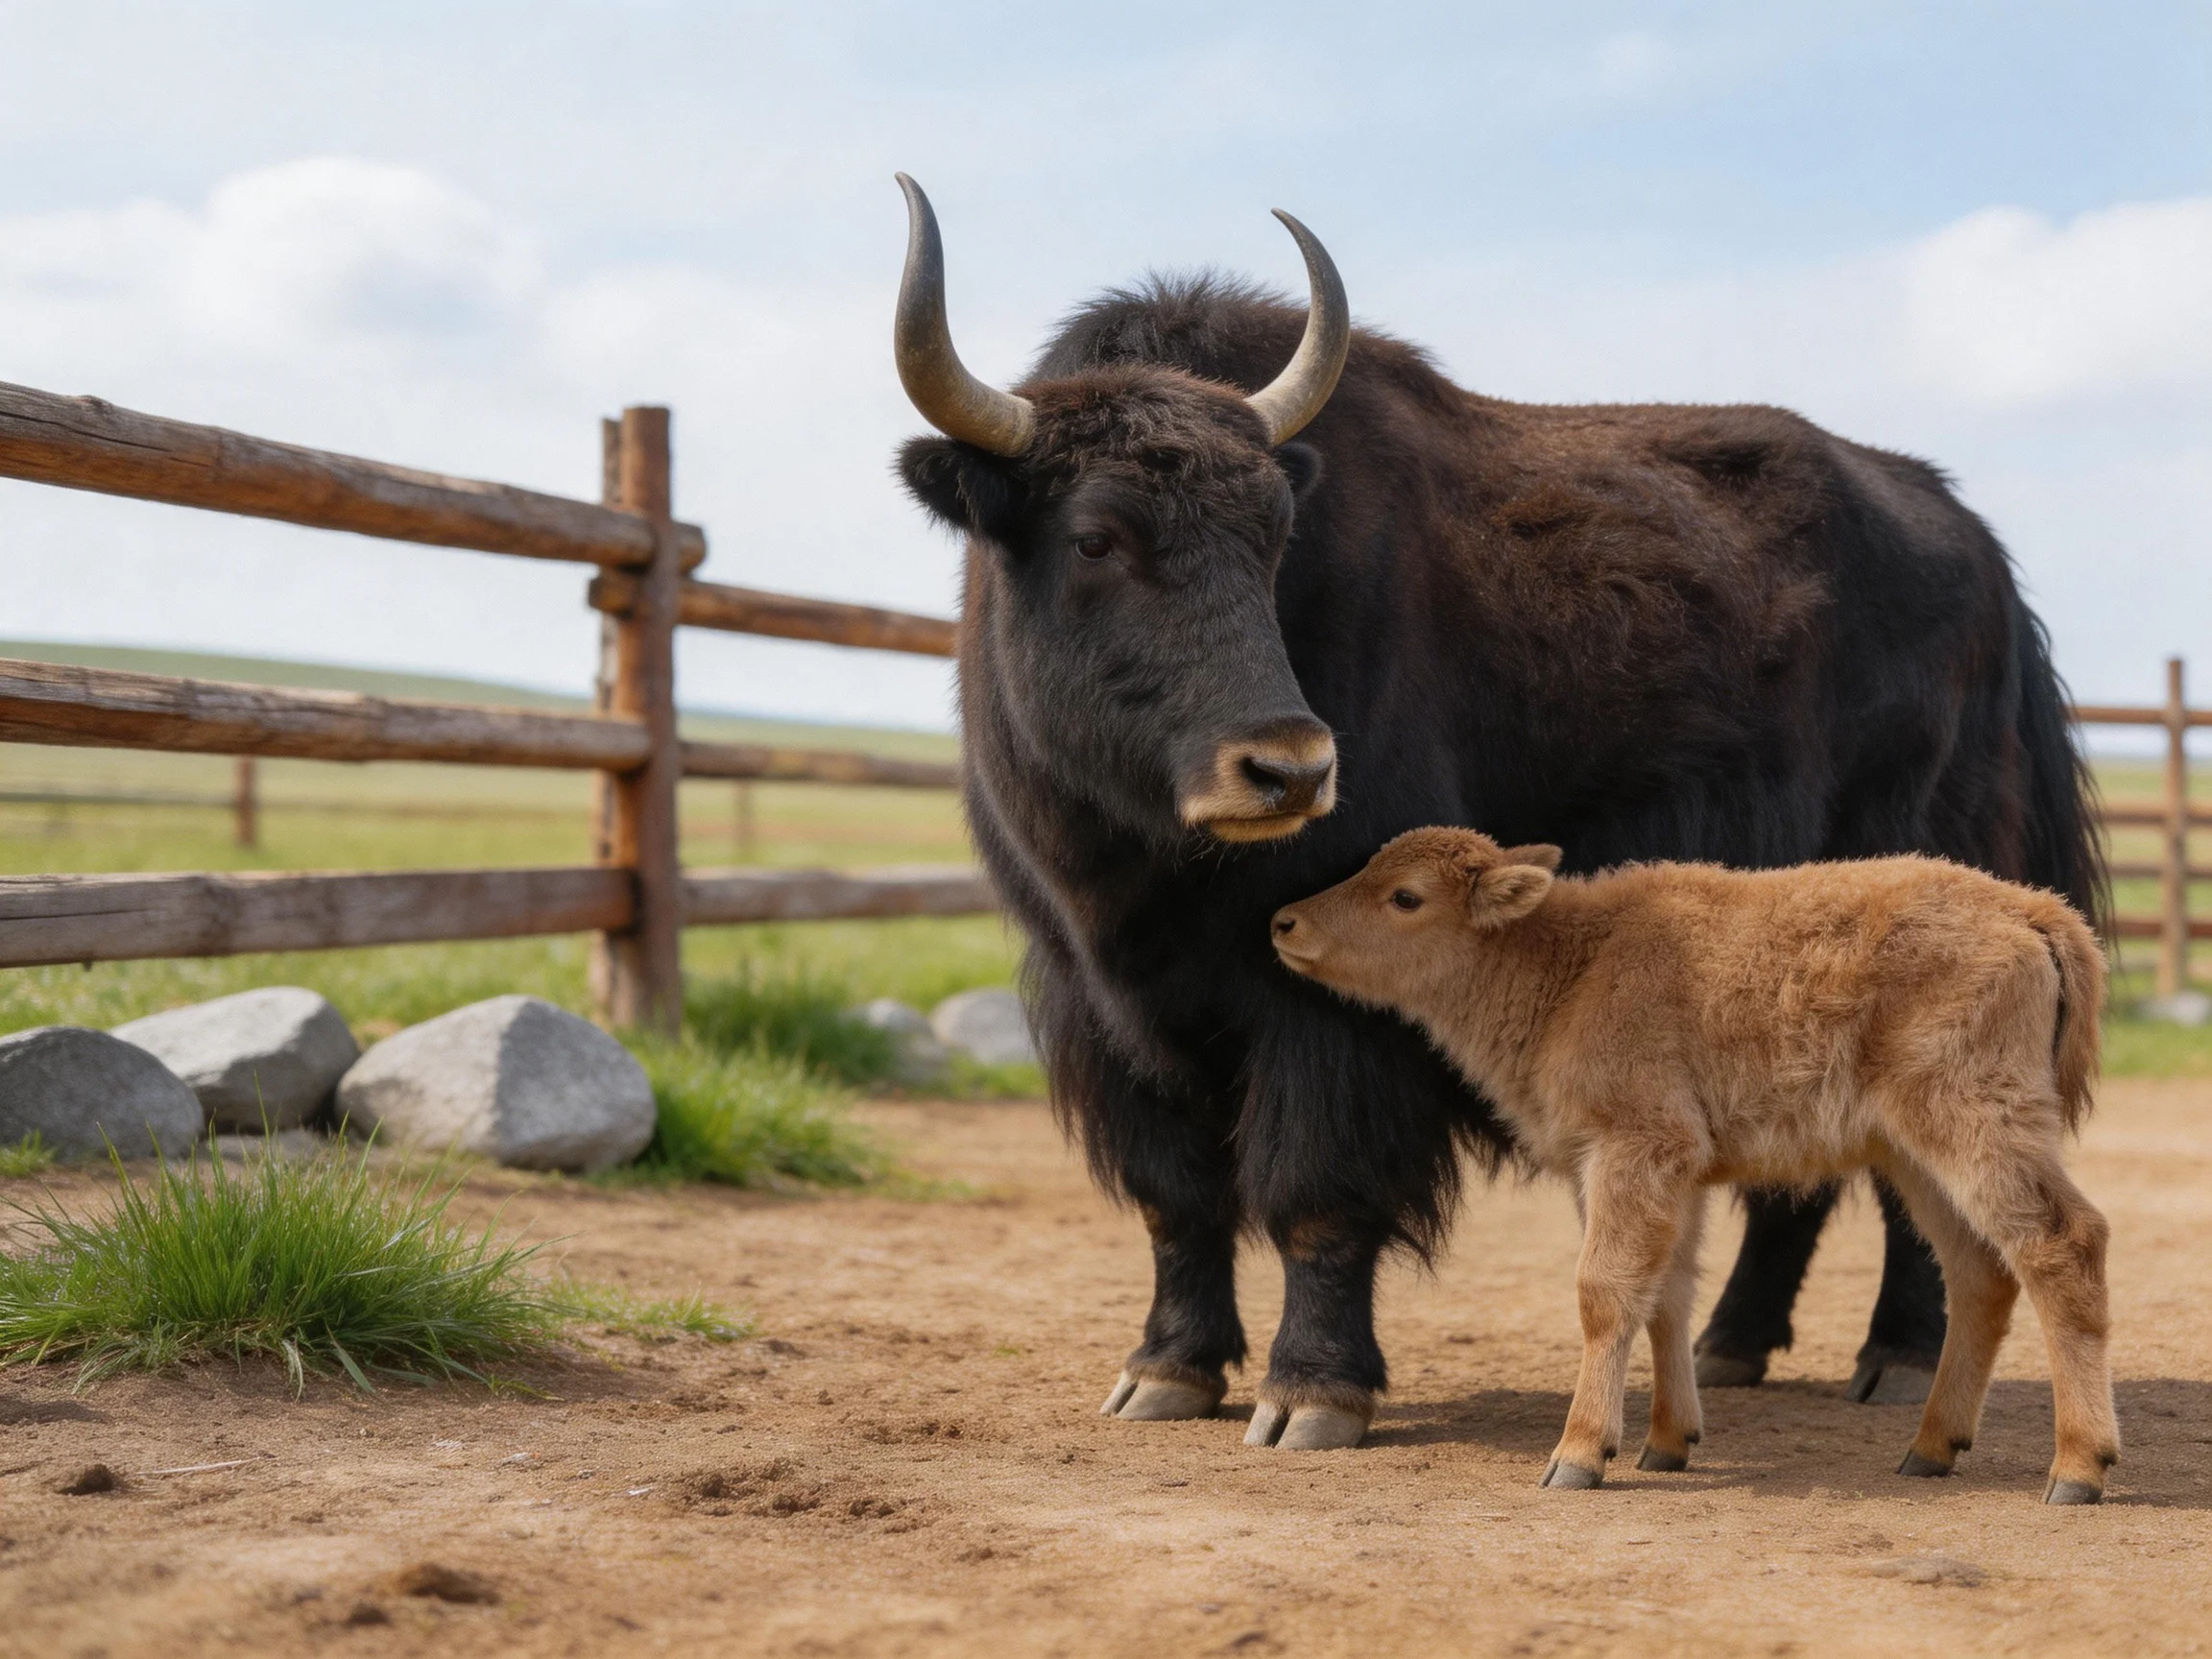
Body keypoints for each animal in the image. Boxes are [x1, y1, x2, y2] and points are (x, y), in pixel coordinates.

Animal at [1271, 829, 2114, 1501]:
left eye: (1405, 897)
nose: (1284, 921)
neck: (1570, 963)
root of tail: (2033, 910)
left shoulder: (1634, 1149)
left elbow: (1604, 1292)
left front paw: (1579, 1455)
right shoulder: (1664, 1174)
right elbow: (1665, 1294)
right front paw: (1666, 1443)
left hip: (1974, 1123)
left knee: (2062, 1244)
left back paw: (2077, 1469)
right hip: (1916, 1157)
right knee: (1979, 1271)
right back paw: (1931, 1449)